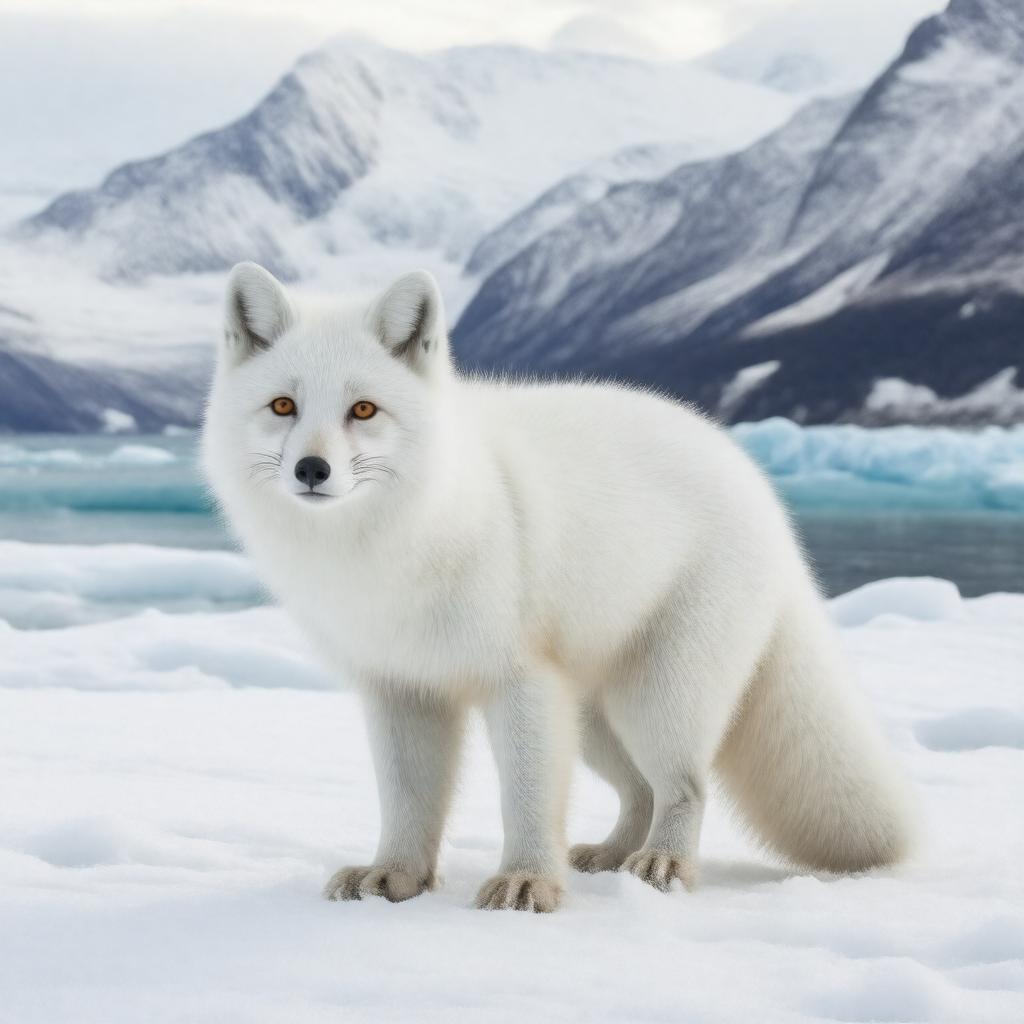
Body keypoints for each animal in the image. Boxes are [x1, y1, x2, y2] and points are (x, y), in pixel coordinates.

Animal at [201, 262, 916, 913]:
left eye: (363, 410)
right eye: (283, 406)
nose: (311, 469)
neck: (393, 549)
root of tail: (755, 480)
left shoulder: (518, 677)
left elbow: (525, 796)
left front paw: (527, 883)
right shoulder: (401, 686)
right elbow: (406, 800)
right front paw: (393, 878)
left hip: (655, 699)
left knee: (684, 786)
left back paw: (663, 866)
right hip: (592, 714)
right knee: (638, 789)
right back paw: (612, 856)